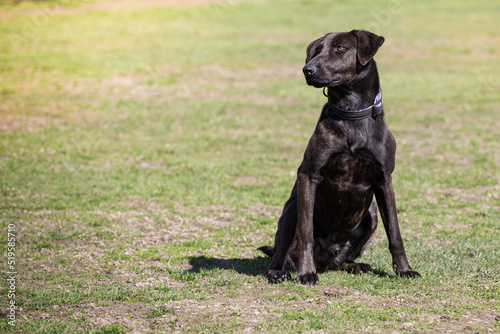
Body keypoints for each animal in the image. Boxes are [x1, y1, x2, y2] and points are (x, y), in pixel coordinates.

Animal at [260, 30, 420, 284]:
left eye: (340, 48)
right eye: (316, 50)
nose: (307, 69)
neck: (351, 112)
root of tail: (325, 259)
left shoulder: (384, 180)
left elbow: (395, 232)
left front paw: (404, 269)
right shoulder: (309, 176)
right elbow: (305, 234)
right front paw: (306, 273)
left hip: (371, 215)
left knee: (341, 261)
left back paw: (355, 265)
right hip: (291, 210)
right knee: (280, 254)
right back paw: (280, 271)